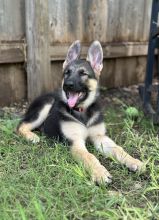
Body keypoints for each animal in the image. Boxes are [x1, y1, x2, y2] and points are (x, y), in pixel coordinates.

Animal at [17, 40, 144, 184]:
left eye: (83, 73)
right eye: (67, 73)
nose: (67, 84)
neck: (82, 111)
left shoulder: (100, 137)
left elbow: (118, 149)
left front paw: (133, 161)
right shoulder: (76, 142)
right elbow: (89, 156)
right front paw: (99, 172)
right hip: (46, 104)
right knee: (21, 125)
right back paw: (31, 136)